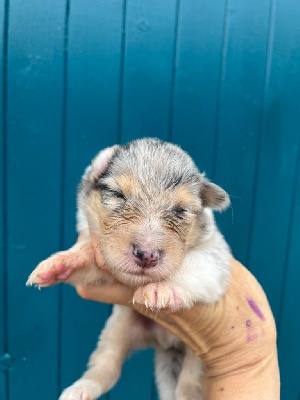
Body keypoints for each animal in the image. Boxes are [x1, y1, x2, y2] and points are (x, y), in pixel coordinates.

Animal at [27, 138, 231, 400]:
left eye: (180, 211)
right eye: (118, 195)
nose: (147, 254)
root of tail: (165, 342)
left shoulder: (215, 255)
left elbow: (193, 265)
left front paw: (163, 289)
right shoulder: (103, 259)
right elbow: (87, 253)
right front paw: (62, 262)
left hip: (200, 356)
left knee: (187, 384)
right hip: (117, 329)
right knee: (107, 366)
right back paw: (81, 388)